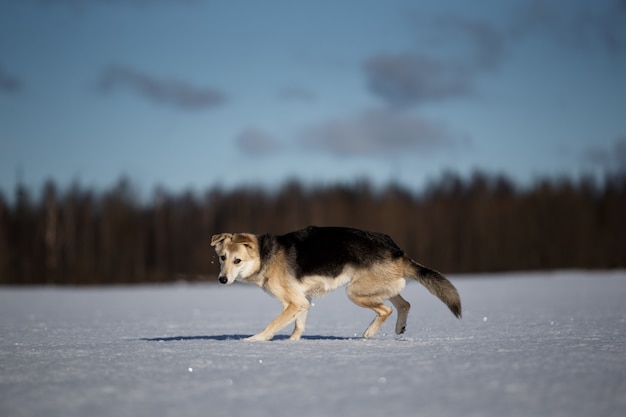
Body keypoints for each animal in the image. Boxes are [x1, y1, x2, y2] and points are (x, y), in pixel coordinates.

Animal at [210, 226, 458, 340]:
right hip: (381, 287)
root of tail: (396, 250)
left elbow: (272, 325)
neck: (264, 255)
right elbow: (298, 326)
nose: (222, 280)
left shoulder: (294, 302)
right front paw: (291, 343)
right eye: (222, 257)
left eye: (237, 260)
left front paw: (253, 341)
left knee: (386, 310)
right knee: (404, 304)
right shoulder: (303, 301)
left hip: (355, 292)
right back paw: (399, 327)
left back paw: (369, 333)